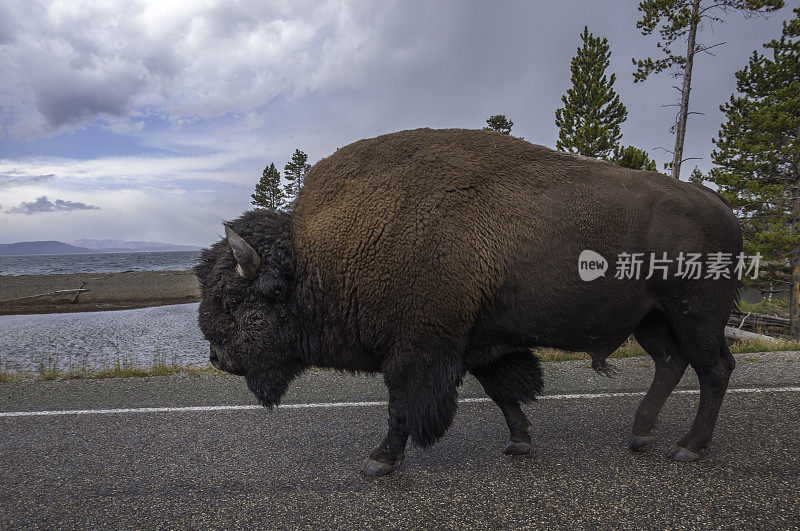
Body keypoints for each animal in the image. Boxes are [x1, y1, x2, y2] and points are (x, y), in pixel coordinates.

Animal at [195, 129, 744, 478]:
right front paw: (519, 442)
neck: (320, 256)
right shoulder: (478, 342)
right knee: (671, 363)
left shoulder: (419, 351)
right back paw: (640, 436)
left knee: (713, 368)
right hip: (652, 319)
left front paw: (378, 461)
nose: (218, 358)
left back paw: (687, 448)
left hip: (696, 314)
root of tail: (718, 203)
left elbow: (403, 408)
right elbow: (503, 392)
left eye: (238, 300)